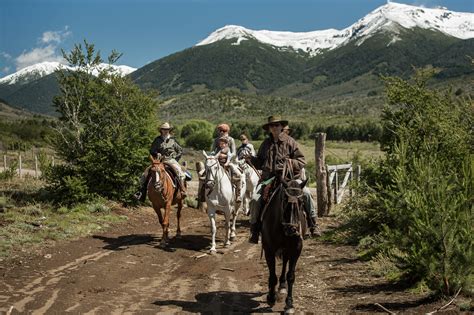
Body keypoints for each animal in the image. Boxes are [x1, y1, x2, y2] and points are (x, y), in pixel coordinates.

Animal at [262, 177, 306, 314]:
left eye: (302, 201)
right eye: (285, 200)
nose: (292, 229)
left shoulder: (296, 250)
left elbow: (291, 276)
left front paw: (289, 304)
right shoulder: (268, 250)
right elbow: (272, 276)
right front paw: (271, 297)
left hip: (288, 250)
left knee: (285, 263)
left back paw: (282, 286)